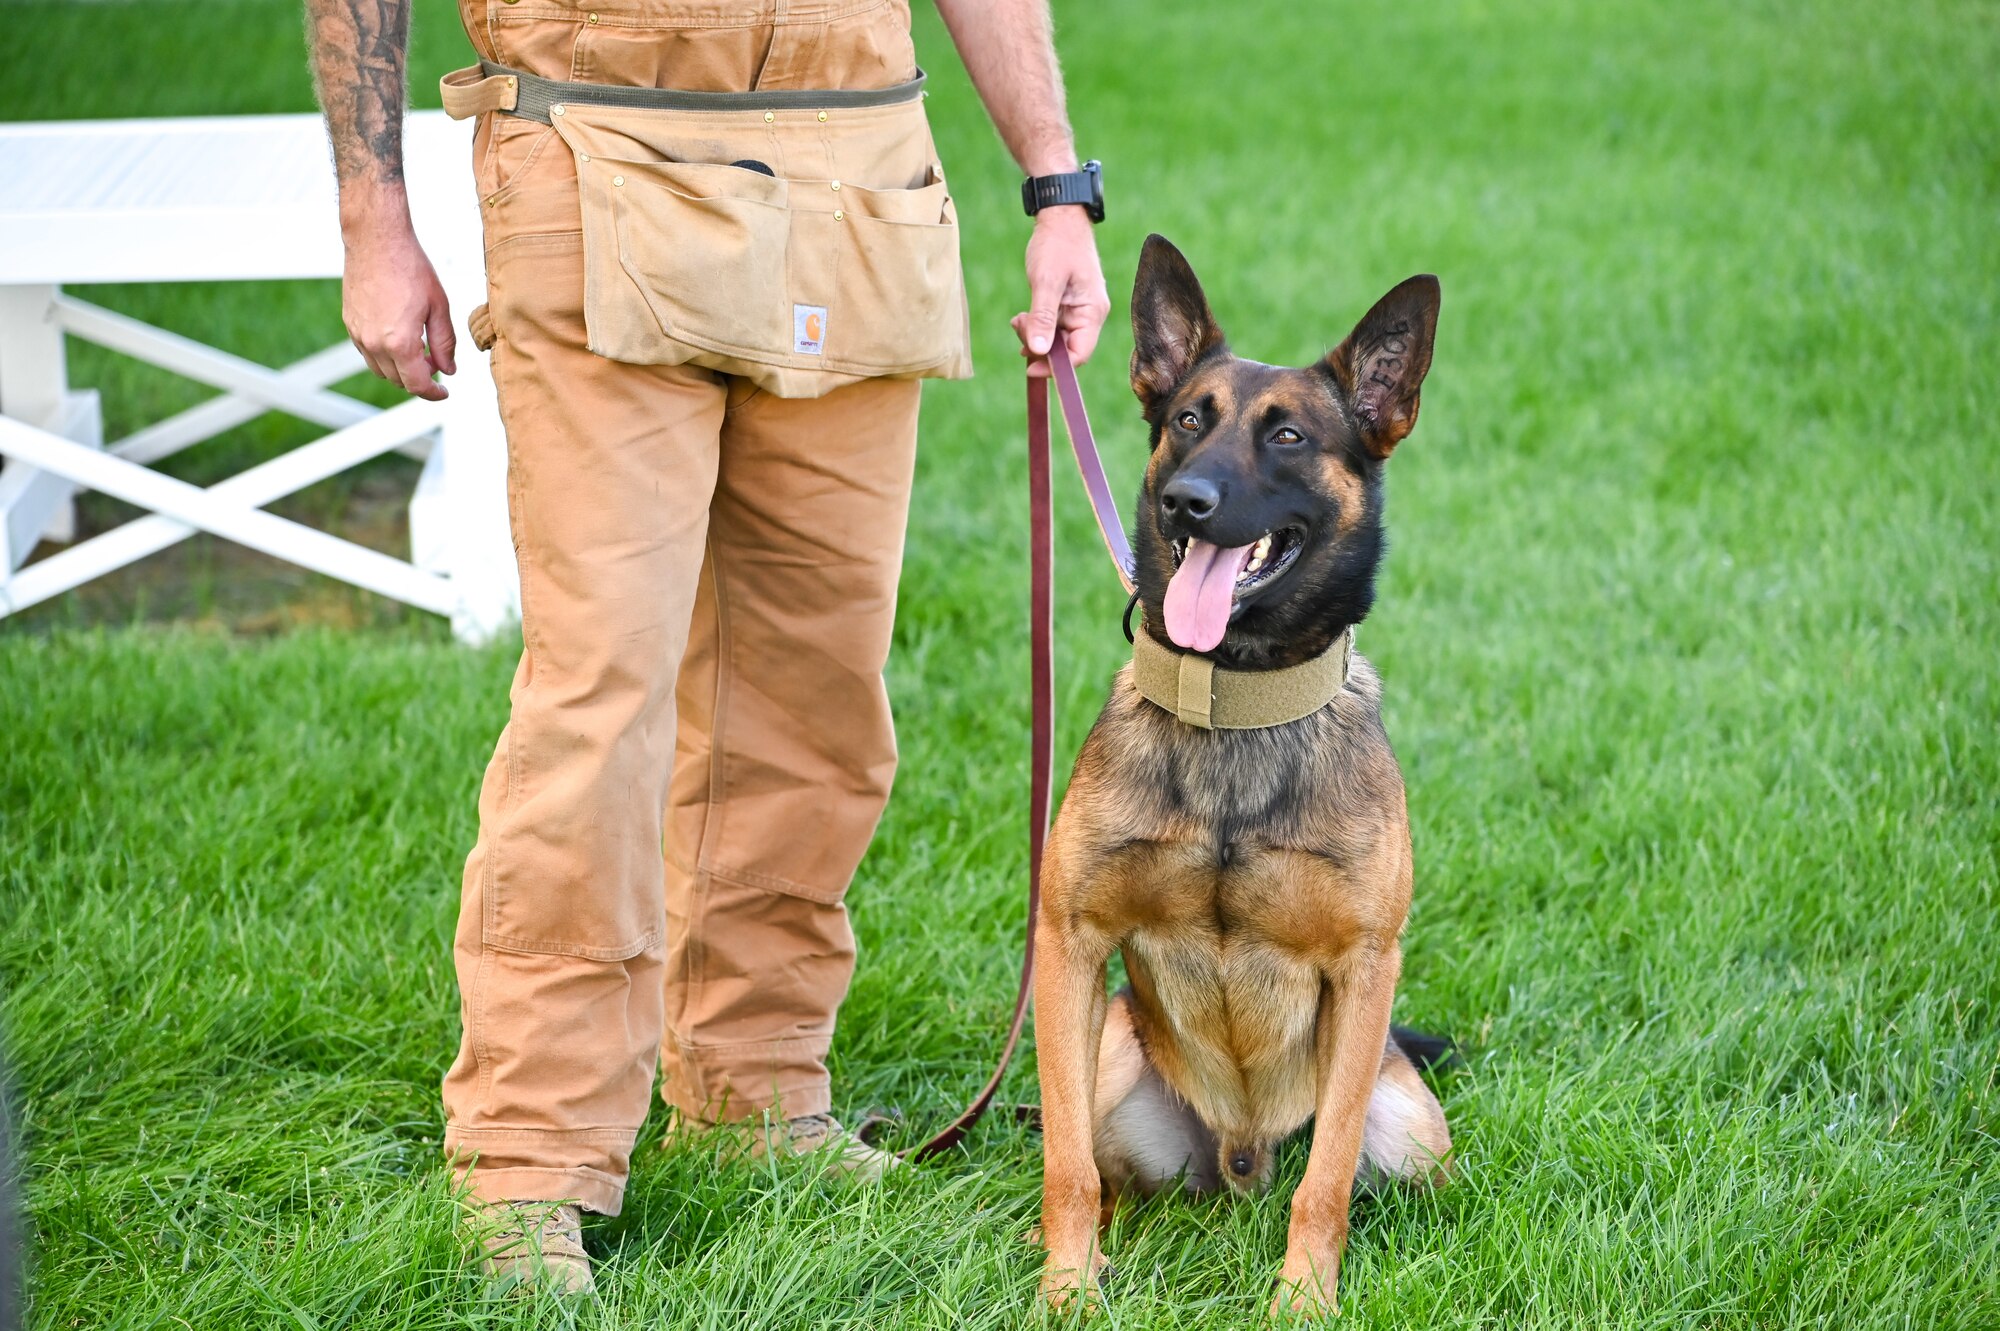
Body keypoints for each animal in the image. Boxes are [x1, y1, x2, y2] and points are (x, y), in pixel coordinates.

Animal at [1032, 232, 1456, 1311]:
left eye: (1290, 438)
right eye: (1188, 419)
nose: (1188, 501)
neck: (1234, 696)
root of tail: (1239, 1156)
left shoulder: (1364, 969)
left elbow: (1328, 1176)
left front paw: (1304, 1300)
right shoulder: (1068, 947)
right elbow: (1064, 1162)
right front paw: (1064, 1292)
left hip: (1412, 1132)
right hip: (1111, 1061)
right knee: (1099, 1166)